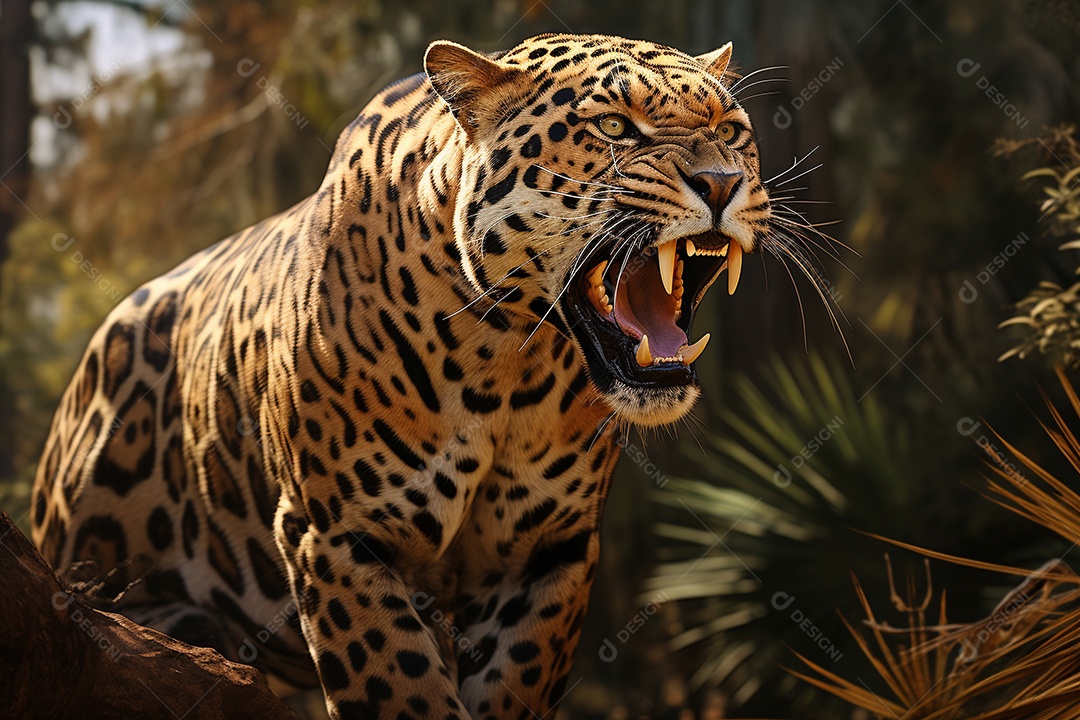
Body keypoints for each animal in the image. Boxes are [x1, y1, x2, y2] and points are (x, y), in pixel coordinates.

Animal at [31, 33, 773, 719]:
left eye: (731, 133)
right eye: (615, 127)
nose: (721, 183)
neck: (510, 362)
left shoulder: (547, 552)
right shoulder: (336, 537)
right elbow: (402, 687)